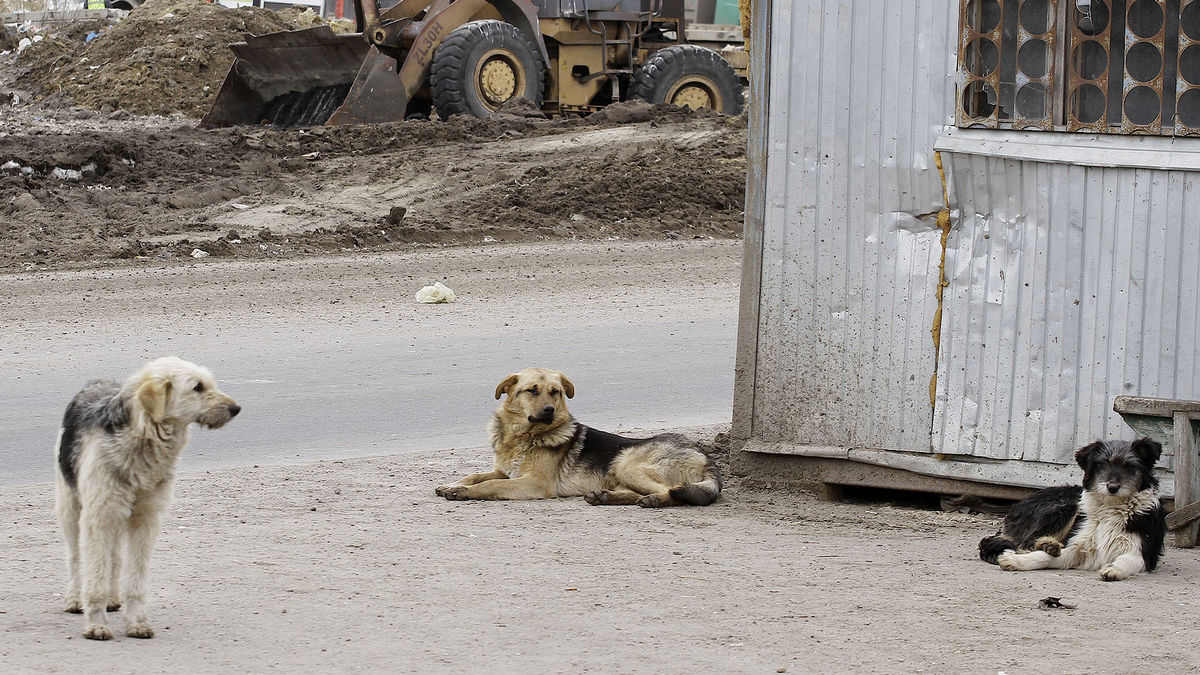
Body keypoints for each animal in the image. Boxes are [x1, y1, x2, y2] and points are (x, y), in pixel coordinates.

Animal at [54, 355, 238, 638]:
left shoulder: (145, 520)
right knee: (75, 559)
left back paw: (112, 598)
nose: (236, 408)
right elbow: (94, 574)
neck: (143, 437)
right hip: (72, 509)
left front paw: (137, 621)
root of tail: (95, 382)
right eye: (197, 387)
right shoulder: (98, 517)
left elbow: (136, 579)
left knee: (115, 558)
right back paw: (74, 599)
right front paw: (96, 623)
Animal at [439, 367, 720, 504]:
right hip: (622, 473)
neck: (523, 436)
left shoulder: (535, 483)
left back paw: (654, 501)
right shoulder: (505, 471)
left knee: (671, 491)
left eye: (555, 392)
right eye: (532, 390)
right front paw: (454, 484)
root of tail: (706, 458)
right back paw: (606, 498)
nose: (549, 411)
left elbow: (490, 485)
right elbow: (476, 475)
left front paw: (462, 492)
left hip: (627, 464)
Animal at [979, 437, 1166, 578]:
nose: (1112, 487)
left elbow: (1126, 560)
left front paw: (1114, 569)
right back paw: (1047, 544)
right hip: (1067, 508)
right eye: (1102, 464)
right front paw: (1017, 561)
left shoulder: (1141, 553)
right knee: (1020, 543)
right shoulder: (1078, 547)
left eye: (1130, 466)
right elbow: (1044, 557)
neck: (1112, 507)